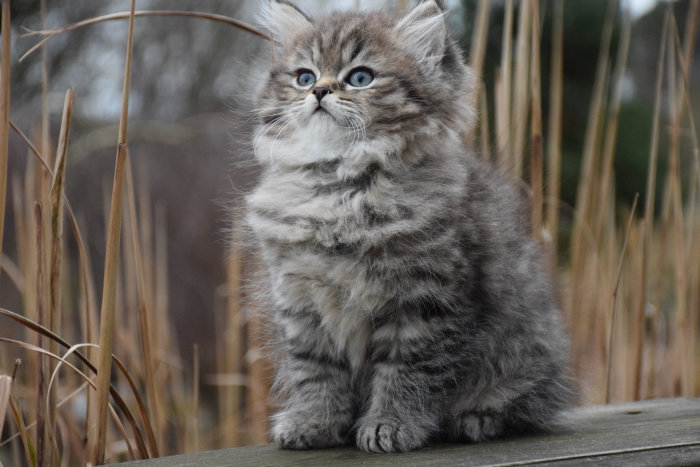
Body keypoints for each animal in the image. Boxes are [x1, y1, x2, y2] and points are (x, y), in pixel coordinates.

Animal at [243, 0, 572, 454]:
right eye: (304, 77)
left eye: (360, 78)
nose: (319, 91)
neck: (340, 188)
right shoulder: (301, 303)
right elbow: (315, 372)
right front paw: (314, 422)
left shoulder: (427, 303)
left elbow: (408, 372)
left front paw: (390, 425)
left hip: (526, 357)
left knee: (523, 403)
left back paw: (477, 419)